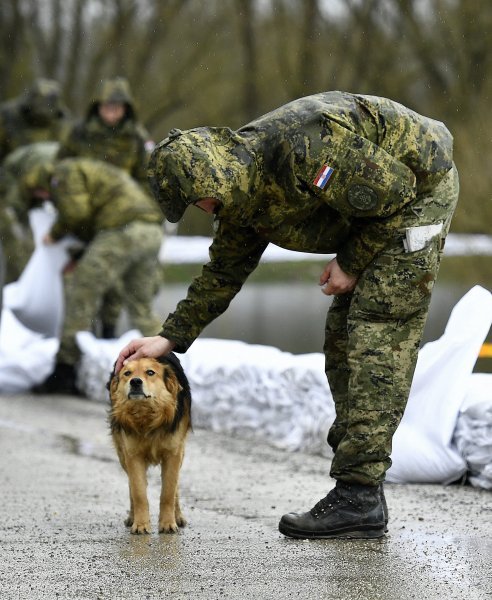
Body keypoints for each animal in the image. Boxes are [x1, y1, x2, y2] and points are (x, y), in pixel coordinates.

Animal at [108, 352, 192, 536]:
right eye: (127, 373)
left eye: (150, 372)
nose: (135, 381)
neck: (146, 416)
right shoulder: (133, 455)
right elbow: (138, 492)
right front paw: (140, 524)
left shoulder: (173, 453)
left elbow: (168, 492)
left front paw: (168, 524)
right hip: (122, 455)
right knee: (131, 486)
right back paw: (132, 517)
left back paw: (178, 516)